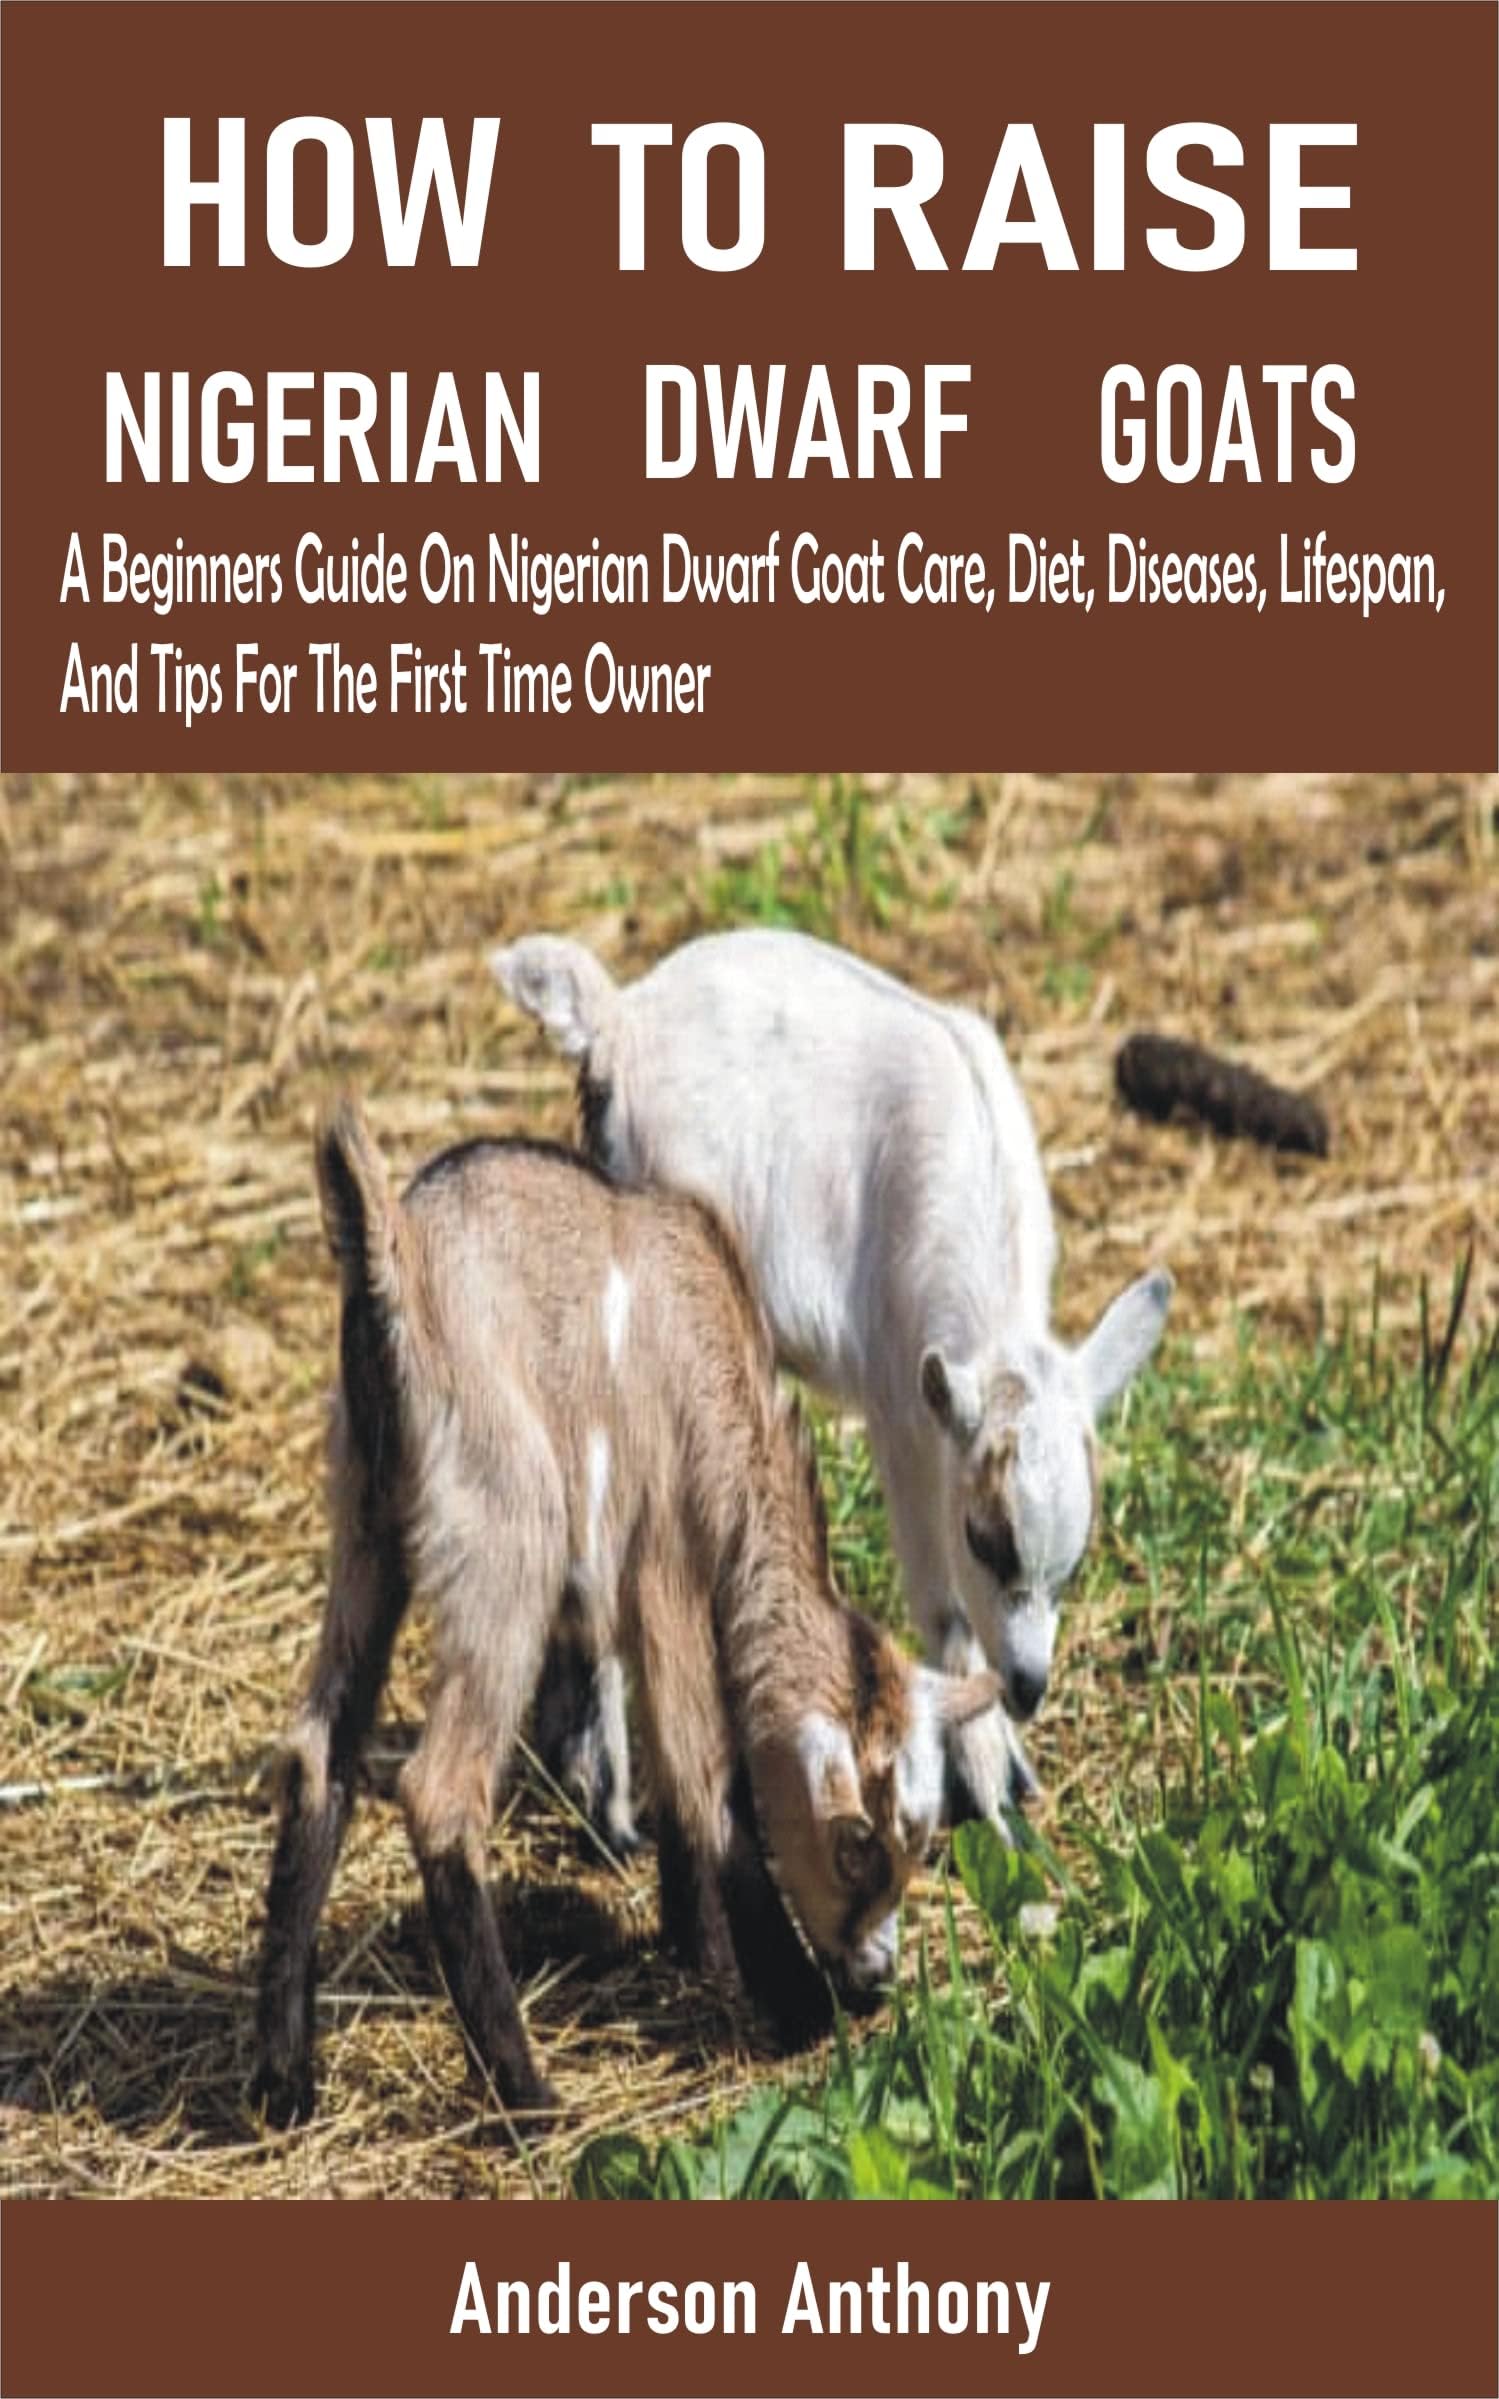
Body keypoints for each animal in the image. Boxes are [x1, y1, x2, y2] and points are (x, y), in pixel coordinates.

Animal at [251, 1100, 998, 2129]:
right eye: (855, 1847)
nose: (872, 1979)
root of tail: (390, 1253)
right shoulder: (663, 1560)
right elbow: (702, 1766)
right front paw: (788, 2002)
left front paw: (695, 1943)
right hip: (505, 1533)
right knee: (440, 1788)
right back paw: (527, 2094)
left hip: (365, 1521)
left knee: (317, 1754)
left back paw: (284, 2077)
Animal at [493, 927, 1171, 1833]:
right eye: (982, 1537)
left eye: (1078, 1554)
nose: (1029, 1686)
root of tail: (617, 1018)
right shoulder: (902, 1404)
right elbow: (940, 1602)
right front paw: (987, 1779)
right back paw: (615, 1790)